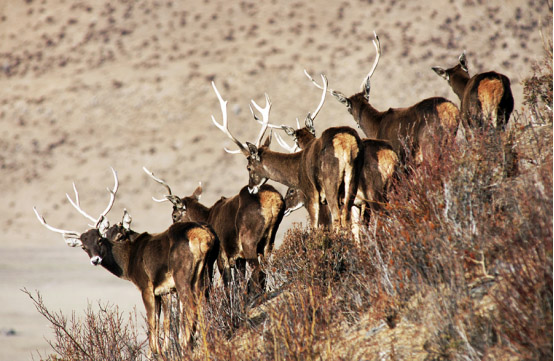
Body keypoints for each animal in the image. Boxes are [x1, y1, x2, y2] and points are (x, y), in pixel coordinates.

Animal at [33, 169, 220, 354]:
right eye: (84, 247)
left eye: (99, 239)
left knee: (192, 307)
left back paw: (188, 344)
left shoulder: (146, 286)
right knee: (204, 305)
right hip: (205, 274)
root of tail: (202, 236)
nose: (95, 259)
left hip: (182, 275)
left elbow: (153, 328)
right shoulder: (162, 291)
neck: (129, 263)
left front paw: (158, 352)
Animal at [210, 80, 362, 229]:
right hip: (352, 183)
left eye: (248, 167)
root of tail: (344, 141)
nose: (250, 188)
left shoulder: (311, 195)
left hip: (331, 182)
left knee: (338, 219)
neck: (296, 170)